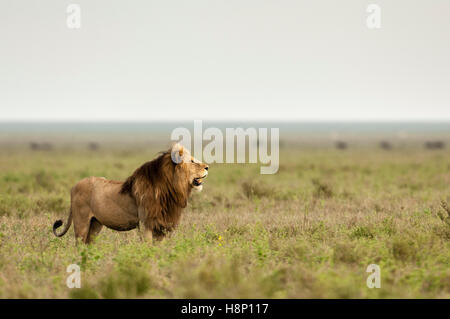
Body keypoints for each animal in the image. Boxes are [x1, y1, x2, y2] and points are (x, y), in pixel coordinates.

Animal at [52, 145, 209, 245]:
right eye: (192, 161)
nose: (207, 167)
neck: (170, 189)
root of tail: (73, 187)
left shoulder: (162, 225)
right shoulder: (146, 223)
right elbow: (147, 248)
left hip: (95, 224)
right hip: (81, 222)